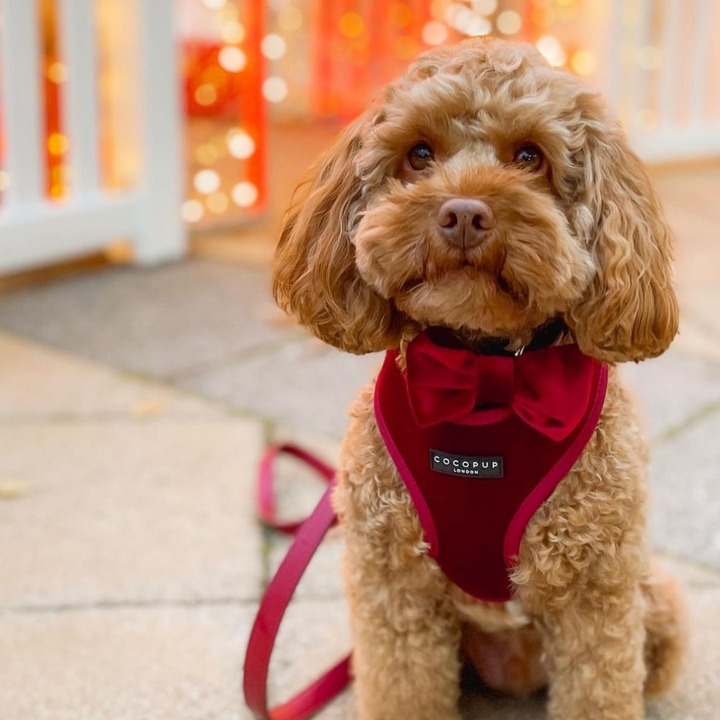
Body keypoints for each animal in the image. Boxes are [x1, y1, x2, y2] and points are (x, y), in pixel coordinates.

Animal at [272, 39, 688, 720]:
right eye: (419, 154)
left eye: (529, 156)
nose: (463, 213)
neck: (488, 379)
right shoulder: (394, 585)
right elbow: (404, 687)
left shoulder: (595, 593)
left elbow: (598, 689)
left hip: (657, 600)